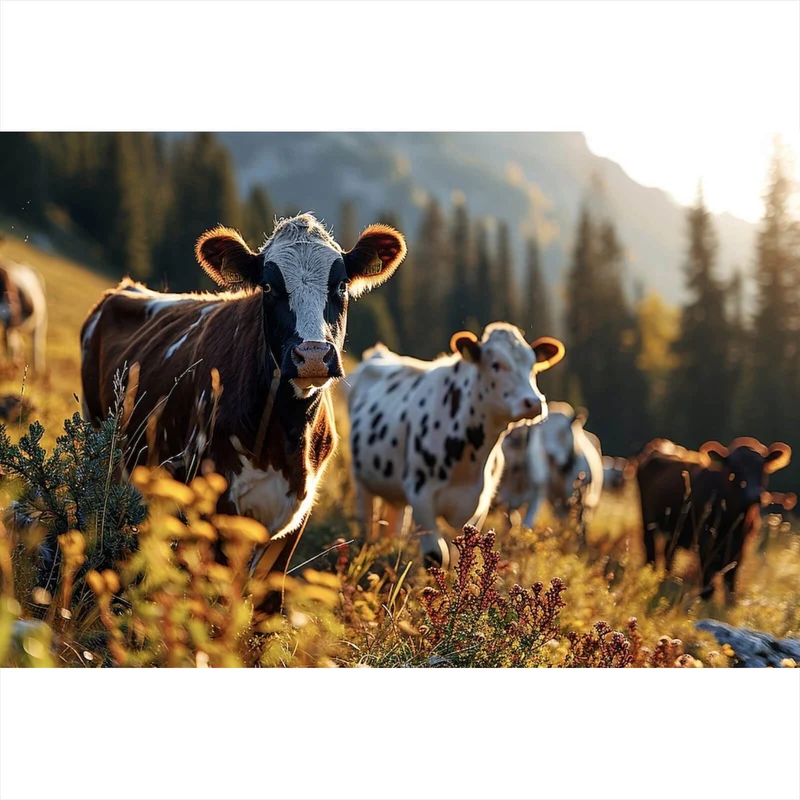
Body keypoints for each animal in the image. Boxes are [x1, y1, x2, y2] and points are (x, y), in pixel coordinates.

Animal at [81, 213, 406, 590]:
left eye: (340, 286)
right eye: (267, 287)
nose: (312, 355)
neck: (286, 433)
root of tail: (127, 288)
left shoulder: (298, 508)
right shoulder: (218, 499)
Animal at [347, 323, 565, 568]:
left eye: (532, 366)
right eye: (496, 364)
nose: (534, 402)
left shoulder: (480, 503)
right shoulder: (420, 495)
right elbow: (437, 556)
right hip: (361, 479)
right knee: (366, 518)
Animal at [636, 437, 792, 603]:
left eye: (762, 469)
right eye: (734, 471)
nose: (754, 496)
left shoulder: (741, 547)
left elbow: (732, 581)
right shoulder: (706, 543)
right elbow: (707, 584)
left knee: (668, 557)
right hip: (648, 524)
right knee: (650, 554)